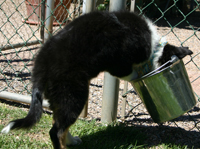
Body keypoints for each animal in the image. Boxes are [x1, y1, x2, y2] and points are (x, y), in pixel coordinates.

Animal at [1, 11, 192, 149]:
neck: (154, 48)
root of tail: (41, 67)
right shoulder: (119, 64)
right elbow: (130, 73)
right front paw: (138, 76)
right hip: (73, 95)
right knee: (55, 131)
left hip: (60, 98)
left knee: (59, 123)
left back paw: (71, 141)